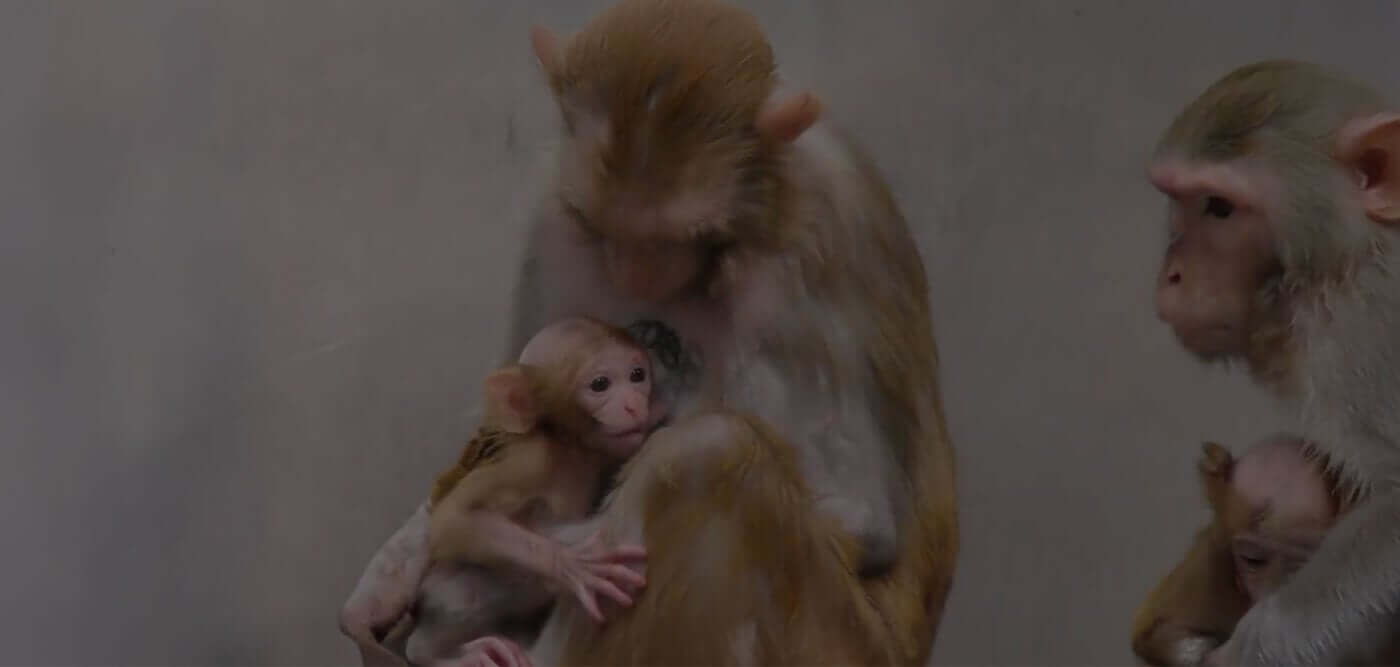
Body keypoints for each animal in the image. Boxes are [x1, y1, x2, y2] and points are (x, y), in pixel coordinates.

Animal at [341, 1, 959, 665]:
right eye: (603, 228)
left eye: (683, 236)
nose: (635, 274)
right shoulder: (557, 221)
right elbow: (502, 431)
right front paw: (389, 586)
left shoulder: (814, 242)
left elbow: (856, 510)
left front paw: (469, 589)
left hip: (836, 644)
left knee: (707, 455)